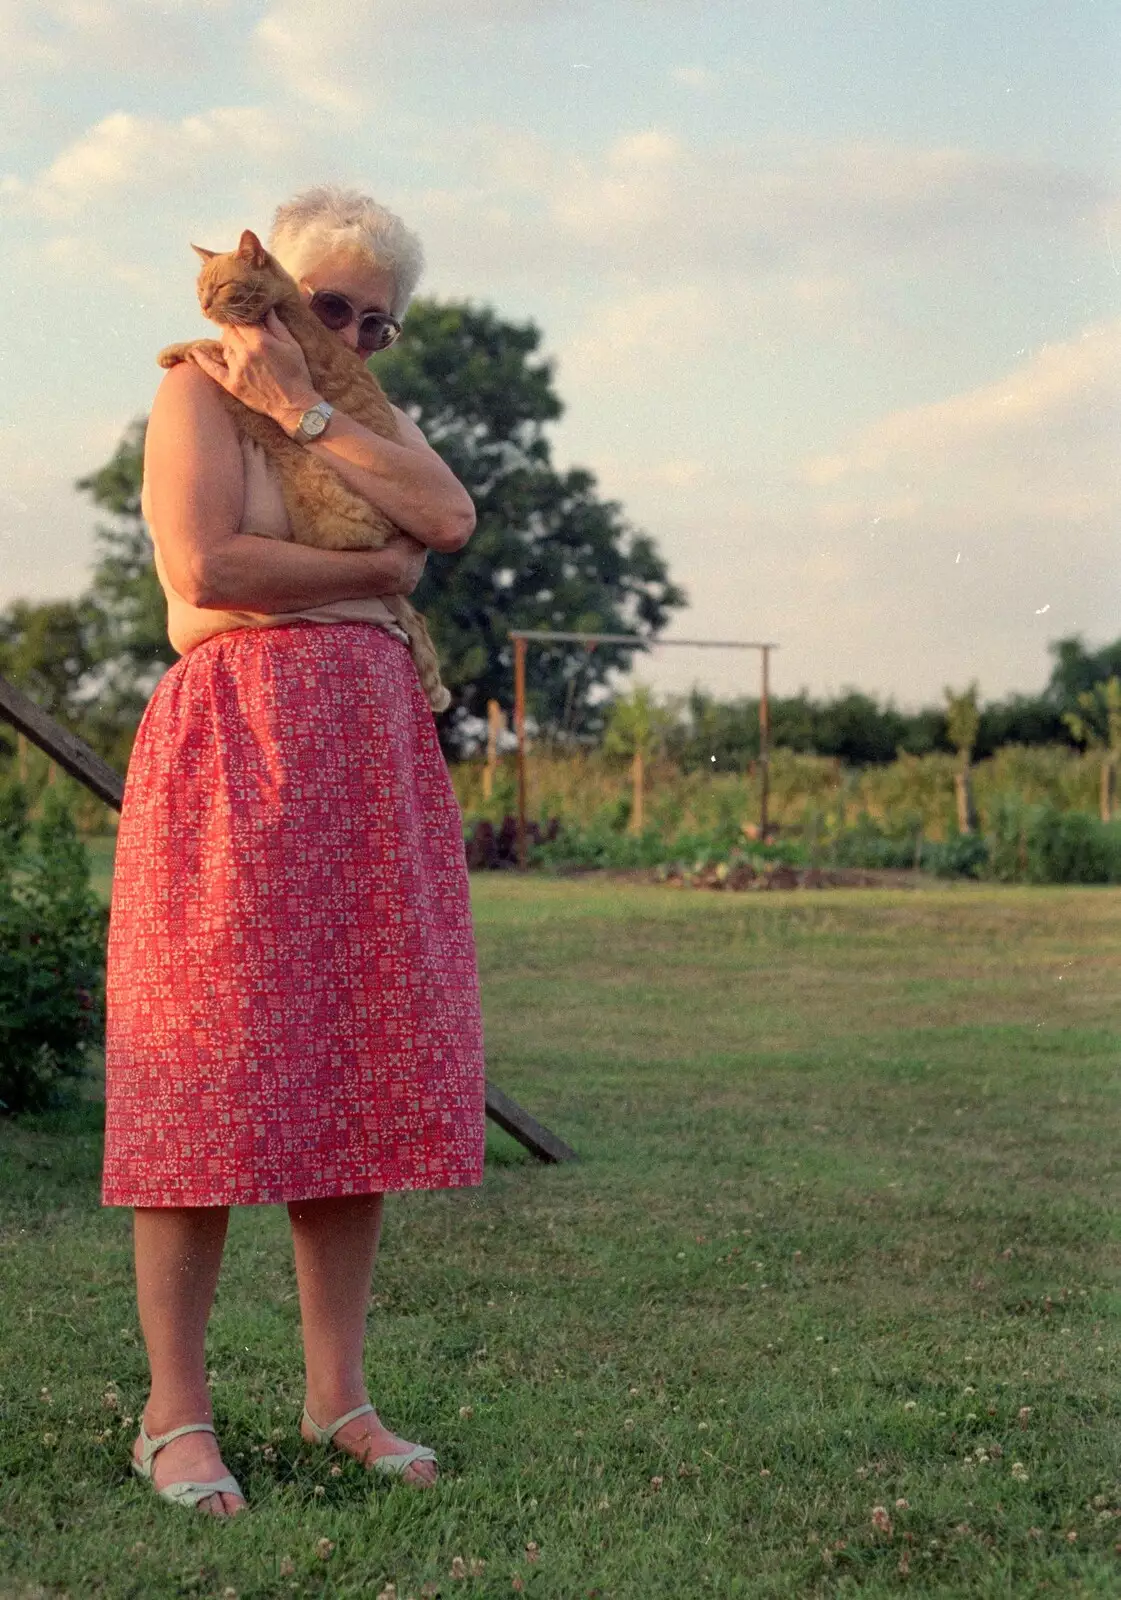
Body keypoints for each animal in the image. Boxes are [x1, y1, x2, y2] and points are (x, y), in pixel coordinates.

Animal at [156, 230, 450, 713]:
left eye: (221, 287)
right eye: (200, 287)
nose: (203, 304)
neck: (281, 306)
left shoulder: (245, 364)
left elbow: (204, 347)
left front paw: (172, 350)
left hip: (309, 475)